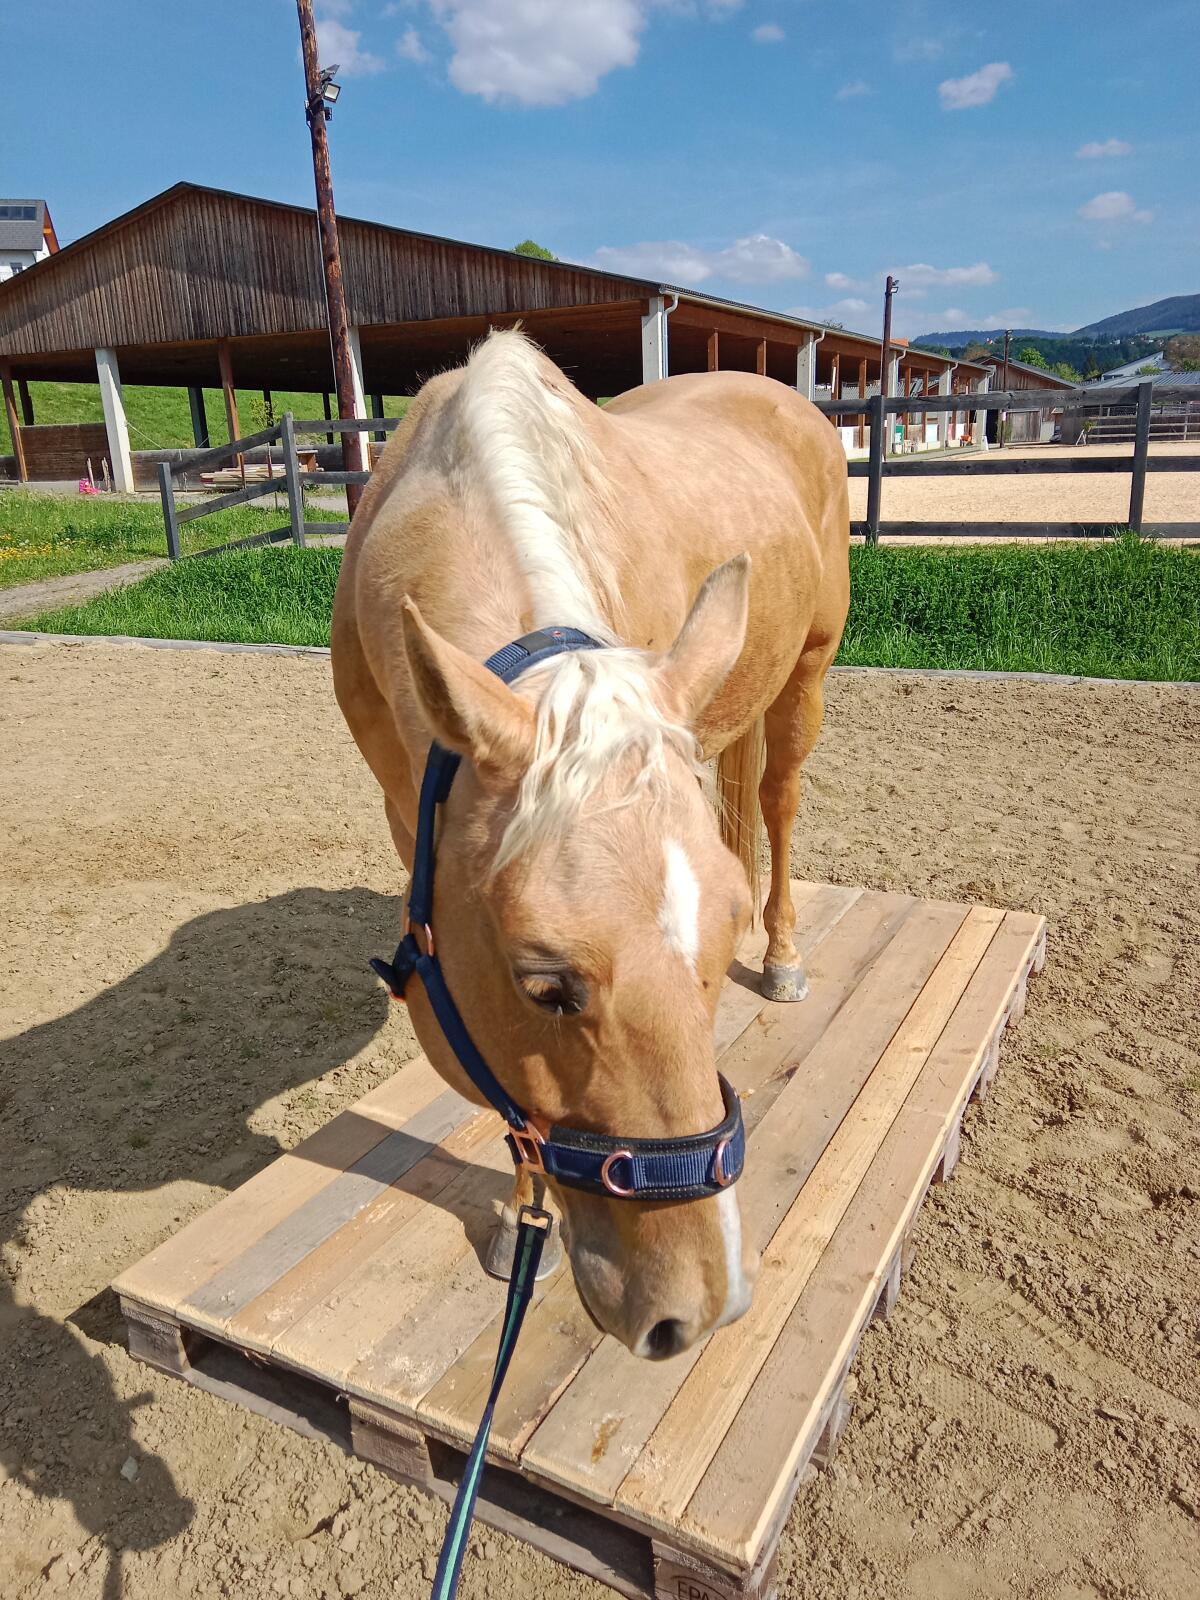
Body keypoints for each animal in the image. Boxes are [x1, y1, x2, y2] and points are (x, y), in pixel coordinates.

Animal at [332, 329, 849, 1360]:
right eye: (546, 988)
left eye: (717, 940)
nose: (699, 1306)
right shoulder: (409, 815)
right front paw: (513, 1216)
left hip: (806, 669)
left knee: (776, 801)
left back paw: (784, 958)